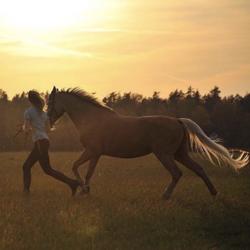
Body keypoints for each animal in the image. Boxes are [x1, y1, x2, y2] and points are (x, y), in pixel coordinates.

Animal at [46, 87, 248, 199]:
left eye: (50, 102)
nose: (49, 122)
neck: (92, 119)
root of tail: (178, 121)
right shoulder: (95, 153)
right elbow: (85, 171)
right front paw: (85, 190)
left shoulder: (92, 151)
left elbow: (77, 168)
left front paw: (83, 189)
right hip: (179, 154)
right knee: (198, 169)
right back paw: (214, 193)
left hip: (164, 154)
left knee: (177, 173)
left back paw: (165, 196)